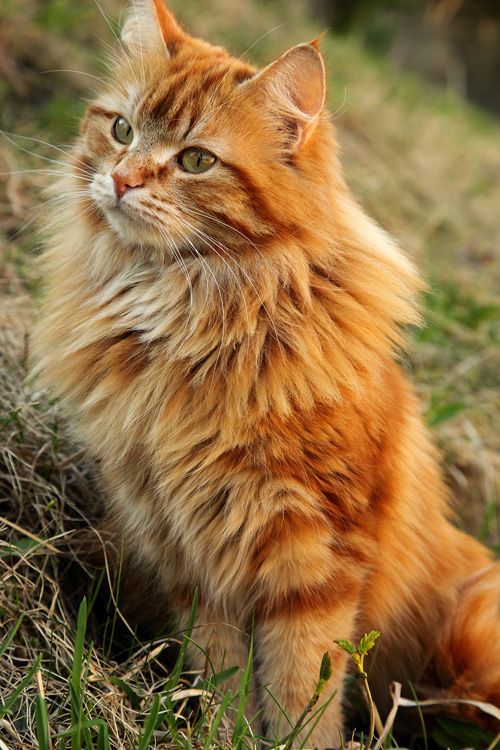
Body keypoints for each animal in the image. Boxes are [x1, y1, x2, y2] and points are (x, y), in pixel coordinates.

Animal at [33, 2, 498, 748]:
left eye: (196, 160)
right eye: (122, 129)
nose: (123, 179)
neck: (190, 327)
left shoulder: (314, 560)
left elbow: (301, 691)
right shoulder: (194, 557)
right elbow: (221, 676)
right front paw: (219, 737)